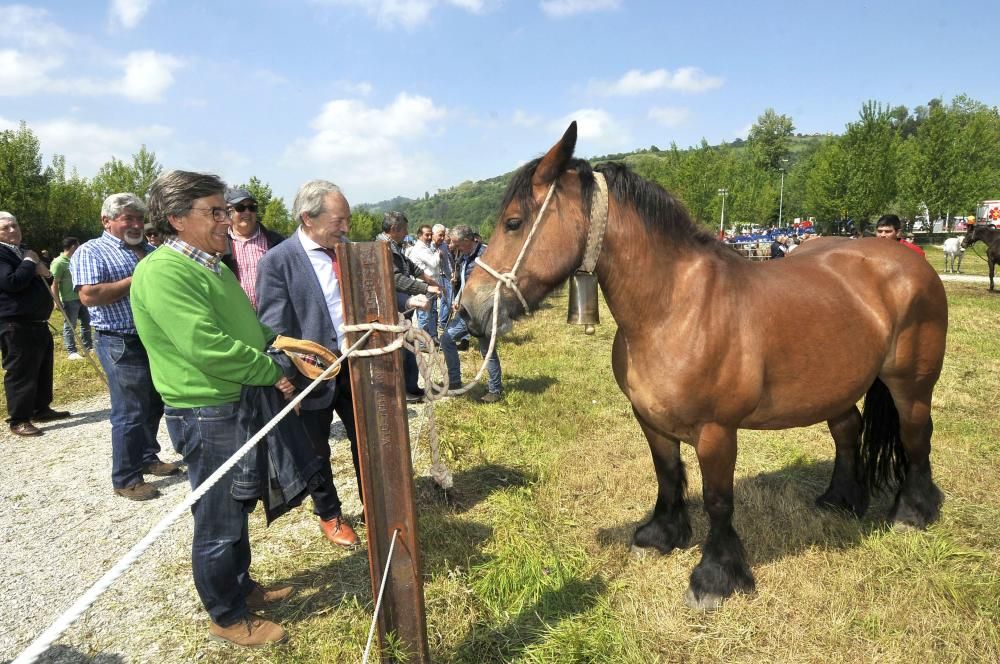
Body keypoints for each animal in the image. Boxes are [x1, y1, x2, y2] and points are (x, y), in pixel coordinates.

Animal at [458, 122, 944, 608]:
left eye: (513, 222)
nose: (468, 309)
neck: (674, 307)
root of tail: (908, 261)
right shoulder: (650, 419)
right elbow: (668, 475)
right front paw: (660, 535)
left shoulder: (716, 431)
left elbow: (717, 499)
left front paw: (716, 576)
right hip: (836, 384)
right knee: (848, 431)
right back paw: (841, 499)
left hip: (911, 385)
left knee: (916, 433)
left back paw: (913, 512)